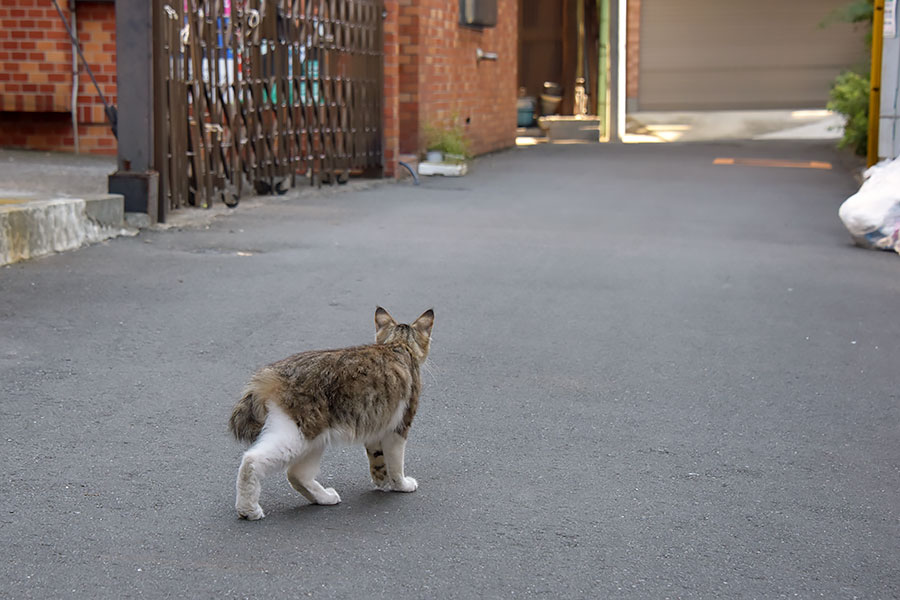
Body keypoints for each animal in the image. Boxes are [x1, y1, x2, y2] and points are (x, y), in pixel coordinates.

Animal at [227, 308, 434, 516]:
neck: (398, 345)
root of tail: (270, 373)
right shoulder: (399, 427)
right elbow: (395, 464)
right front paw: (401, 485)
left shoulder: (376, 426)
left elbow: (378, 460)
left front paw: (381, 482)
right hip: (299, 435)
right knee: (252, 460)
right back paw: (248, 510)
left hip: (315, 440)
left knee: (296, 475)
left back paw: (324, 498)